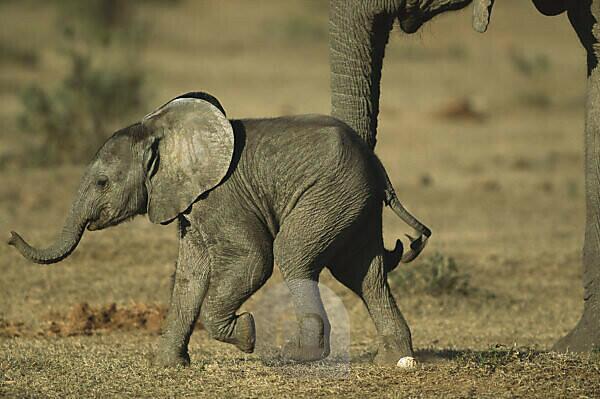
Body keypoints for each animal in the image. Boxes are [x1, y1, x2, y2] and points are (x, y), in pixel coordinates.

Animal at [9, 92, 432, 368]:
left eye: (101, 183)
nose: (11, 236)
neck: (163, 133)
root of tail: (377, 165)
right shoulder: (189, 203)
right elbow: (189, 274)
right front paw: (168, 366)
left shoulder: (222, 196)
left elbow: (253, 259)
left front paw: (247, 335)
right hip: (353, 202)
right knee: (363, 272)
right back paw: (394, 359)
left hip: (332, 194)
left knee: (293, 254)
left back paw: (298, 356)